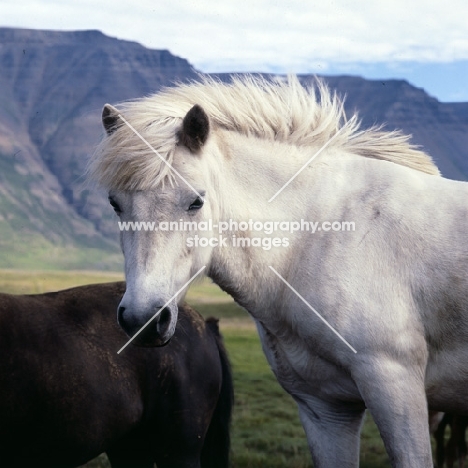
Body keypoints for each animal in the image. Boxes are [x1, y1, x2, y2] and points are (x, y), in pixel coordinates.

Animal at [88, 75, 468, 466]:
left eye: (196, 201)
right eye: (115, 203)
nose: (143, 320)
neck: (318, 236)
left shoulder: (394, 384)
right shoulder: (326, 409)